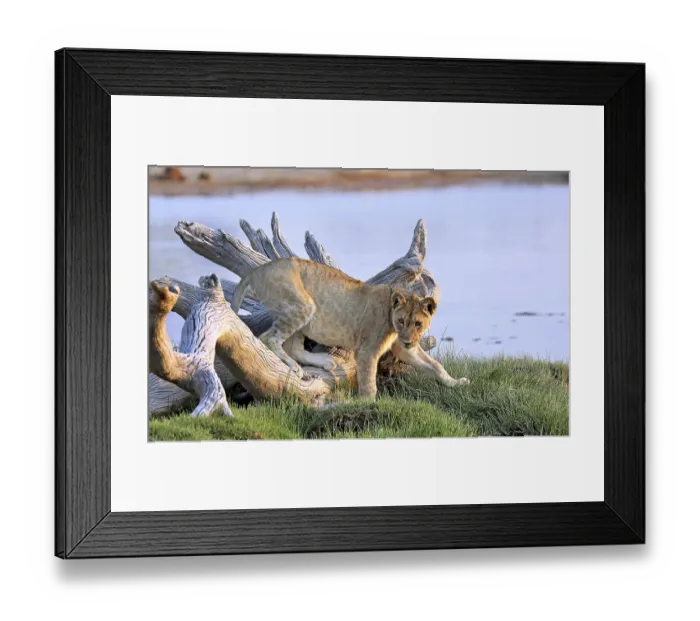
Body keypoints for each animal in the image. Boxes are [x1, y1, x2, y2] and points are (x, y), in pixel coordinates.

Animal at [230, 258, 470, 399]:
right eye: (401, 321)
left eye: (418, 323)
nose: (409, 340)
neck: (390, 313)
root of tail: (256, 270)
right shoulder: (366, 351)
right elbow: (369, 381)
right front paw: (369, 403)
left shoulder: (403, 348)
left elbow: (435, 365)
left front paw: (456, 383)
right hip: (301, 305)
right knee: (267, 338)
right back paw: (295, 367)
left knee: (293, 347)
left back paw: (326, 361)